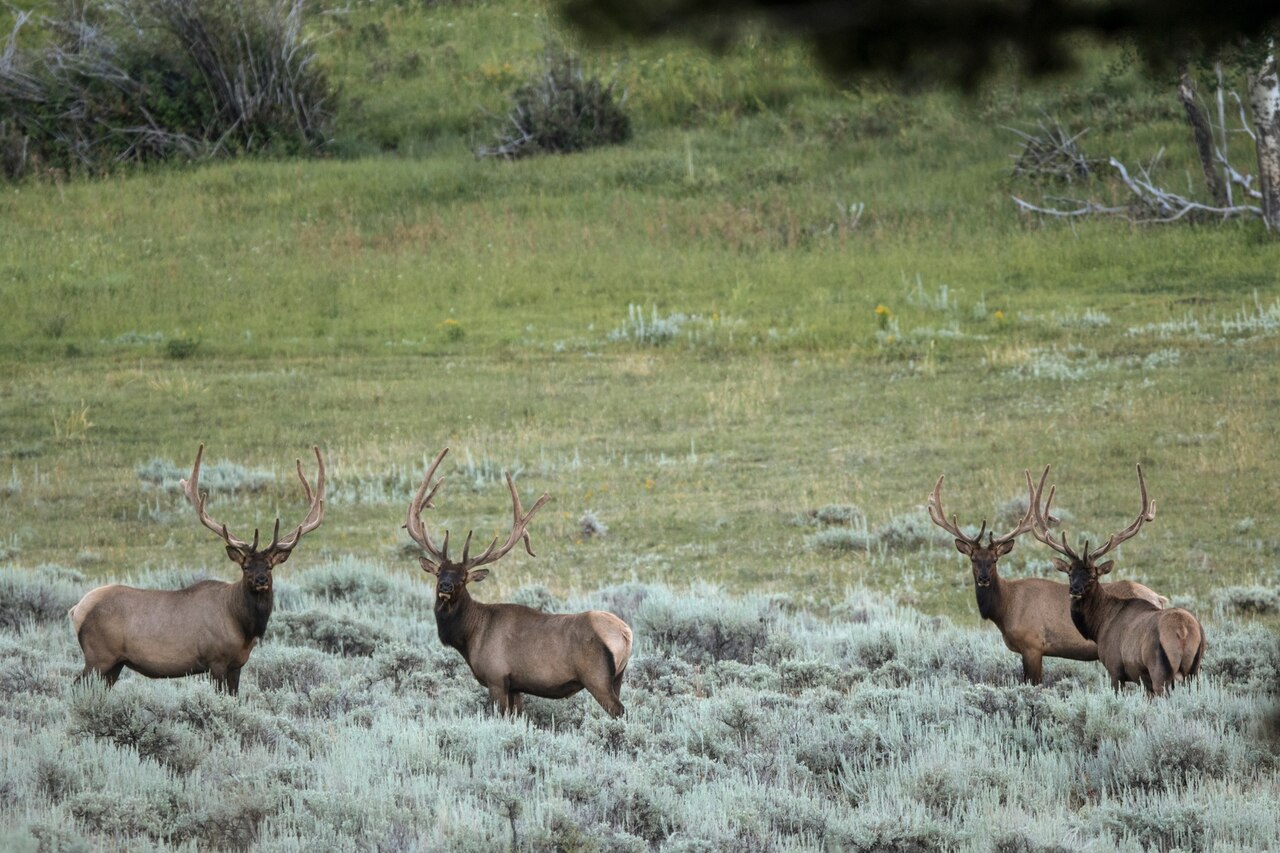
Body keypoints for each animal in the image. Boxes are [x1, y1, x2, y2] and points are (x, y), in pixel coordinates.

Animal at [68, 444, 325, 695]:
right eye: (245, 566)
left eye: (270, 566)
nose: (261, 580)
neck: (243, 626)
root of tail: (76, 609)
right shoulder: (216, 660)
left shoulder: (237, 664)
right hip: (98, 656)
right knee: (75, 685)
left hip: (114, 664)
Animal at [405, 447, 633, 718]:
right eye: (439, 573)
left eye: (463, 578)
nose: (445, 587)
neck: (470, 637)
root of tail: (626, 633)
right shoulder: (516, 686)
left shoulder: (496, 677)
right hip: (618, 677)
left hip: (596, 677)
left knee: (621, 711)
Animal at [928, 468, 1168, 685]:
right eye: (973, 559)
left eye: (994, 560)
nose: (984, 578)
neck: (1005, 609)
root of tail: (1160, 599)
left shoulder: (1032, 646)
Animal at [1029, 464, 1204, 696]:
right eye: (1069, 572)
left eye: (1093, 575)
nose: (1075, 589)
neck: (1100, 625)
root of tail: (1183, 630)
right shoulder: (1143, 680)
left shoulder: (1114, 668)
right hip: (1196, 669)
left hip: (1159, 669)